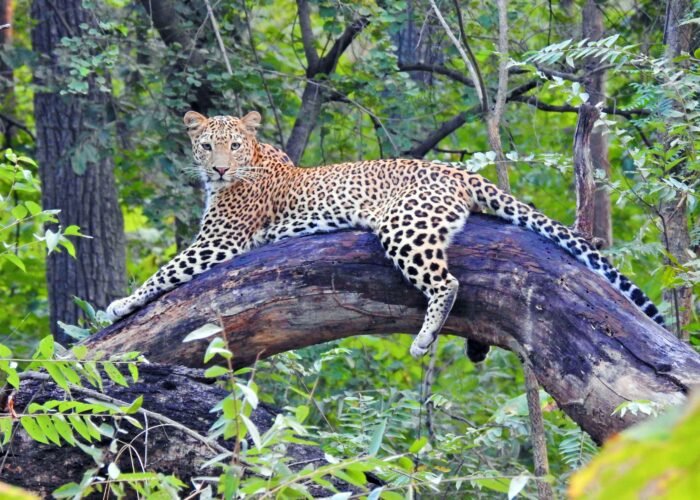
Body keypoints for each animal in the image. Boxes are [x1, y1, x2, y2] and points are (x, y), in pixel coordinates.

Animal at [107, 110, 665, 358]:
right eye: (206, 146)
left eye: (235, 146)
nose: (220, 169)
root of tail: (458, 172)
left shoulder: (220, 241)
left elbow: (167, 271)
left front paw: (119, 304)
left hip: (404, 227)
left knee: (448, 283)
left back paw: (423, 339)